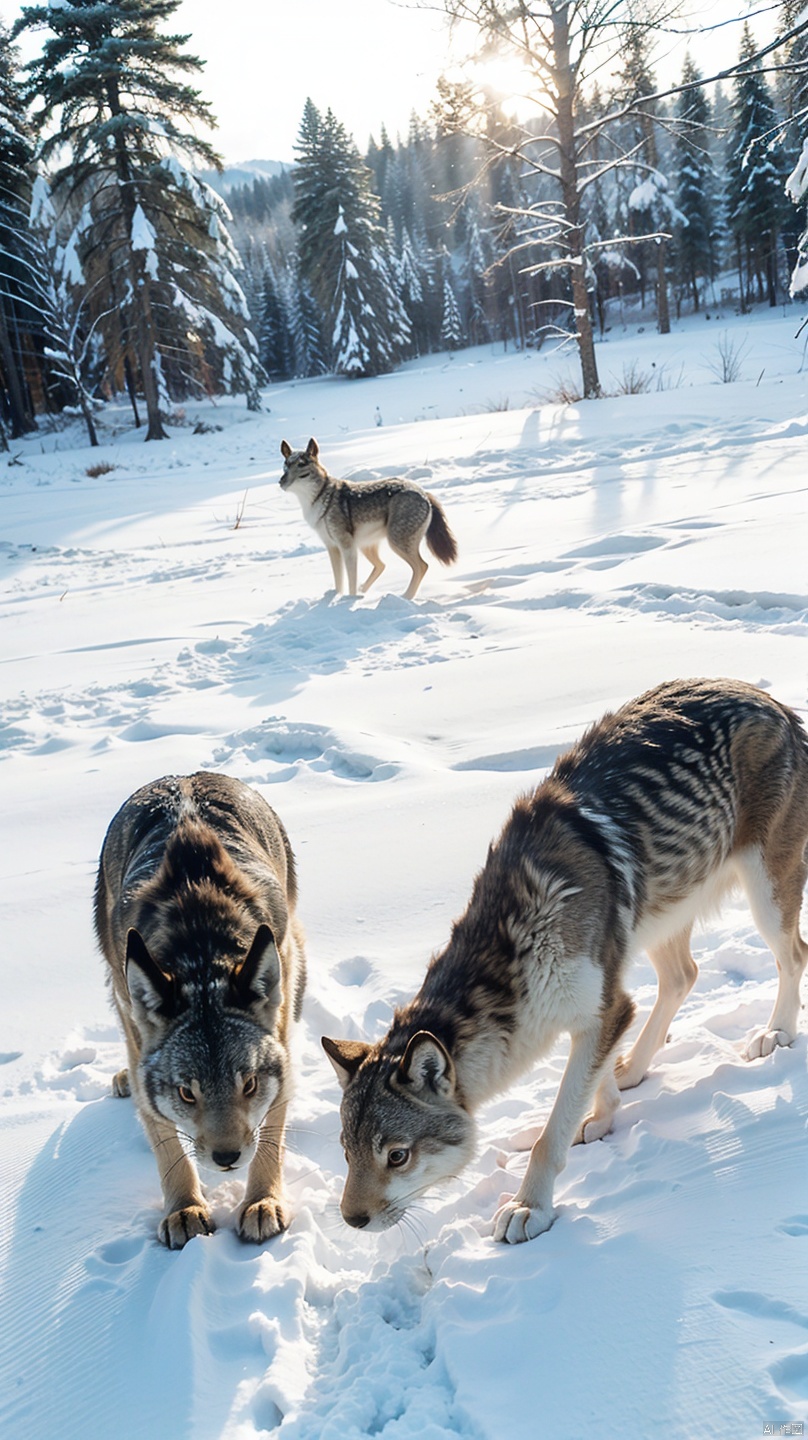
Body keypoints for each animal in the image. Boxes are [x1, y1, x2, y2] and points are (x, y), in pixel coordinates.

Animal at [93, 771, 305, 1244]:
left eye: (249, 1085)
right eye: (187, 1093)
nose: (227, 1158)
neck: (202, 942)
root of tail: (184, 775)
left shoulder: (280, 1038)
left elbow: (271, 1134)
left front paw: (262, 1201)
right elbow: (167, 1144)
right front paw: (184, 1209)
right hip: (119, 984)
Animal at [279, 434, 458, 599]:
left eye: (301, 465)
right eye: (285, 466)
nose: (281, 481)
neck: (319, 498)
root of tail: (424, 493)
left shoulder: (347, 547)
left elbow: (350, 581)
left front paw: (349, 601)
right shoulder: (332, 547)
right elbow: (339, 582)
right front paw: (336, 598)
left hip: (395, 543)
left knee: (422, 566)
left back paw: (405, 597)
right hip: (368, 547)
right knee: (382, 565)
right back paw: (366, 591)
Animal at [322, 679, 806, 1244]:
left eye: (397, 1156)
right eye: (347, 1153)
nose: (351, 1220)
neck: (514, 950)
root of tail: (772, 701)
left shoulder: (601, 1004)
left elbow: (548, 1138)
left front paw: (529, 1207)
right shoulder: (602, 1008)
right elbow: (592, 1082)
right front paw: (602, 1116)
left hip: (763, 897)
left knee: (794, 956)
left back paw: (776, 1033)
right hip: (658, 918)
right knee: (684, 977)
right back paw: (634, 1067)